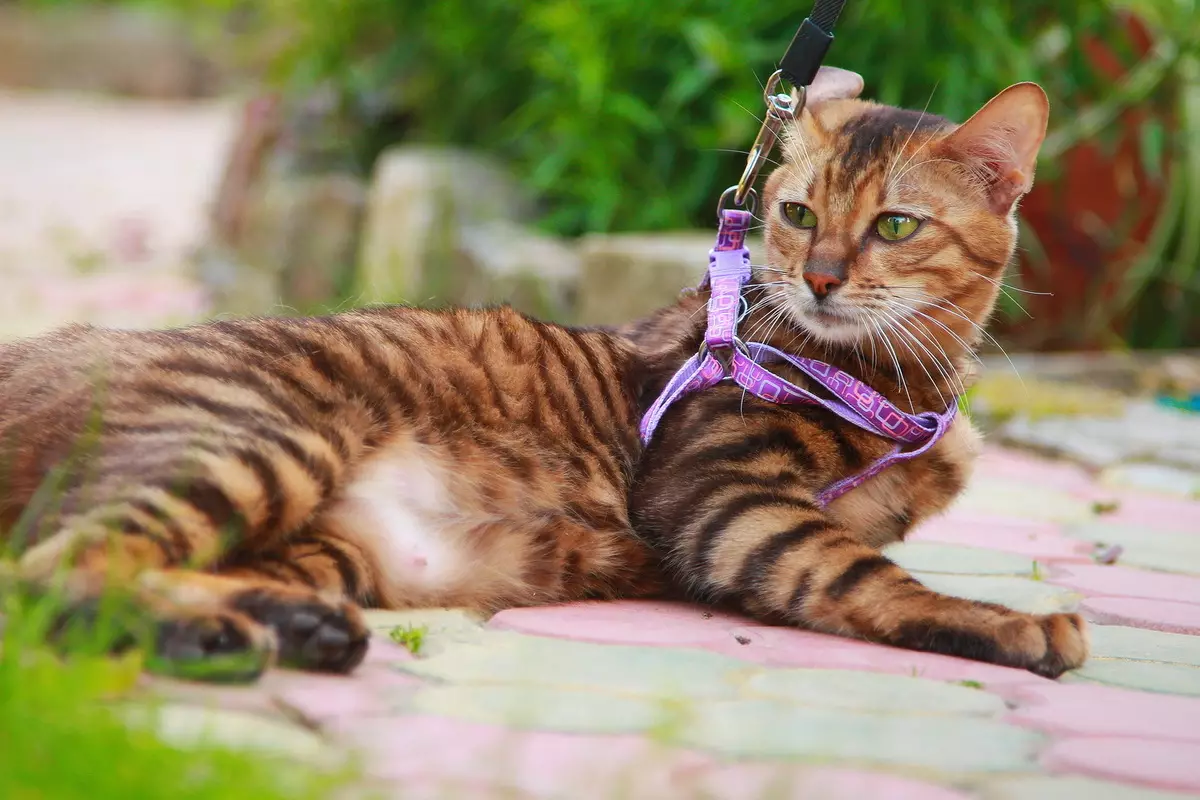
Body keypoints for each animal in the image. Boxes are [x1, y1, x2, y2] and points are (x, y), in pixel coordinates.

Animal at [0, 70, 1089, 681]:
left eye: (895, 225)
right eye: (797, 214)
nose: (820, 277)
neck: (904, 384)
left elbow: (864, 557)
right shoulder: (719, 496)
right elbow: (864, 574)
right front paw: (1015, 623)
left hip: (320, 541)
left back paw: (280, 625)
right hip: (265, 440)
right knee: (50, 573)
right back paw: (223, 638)